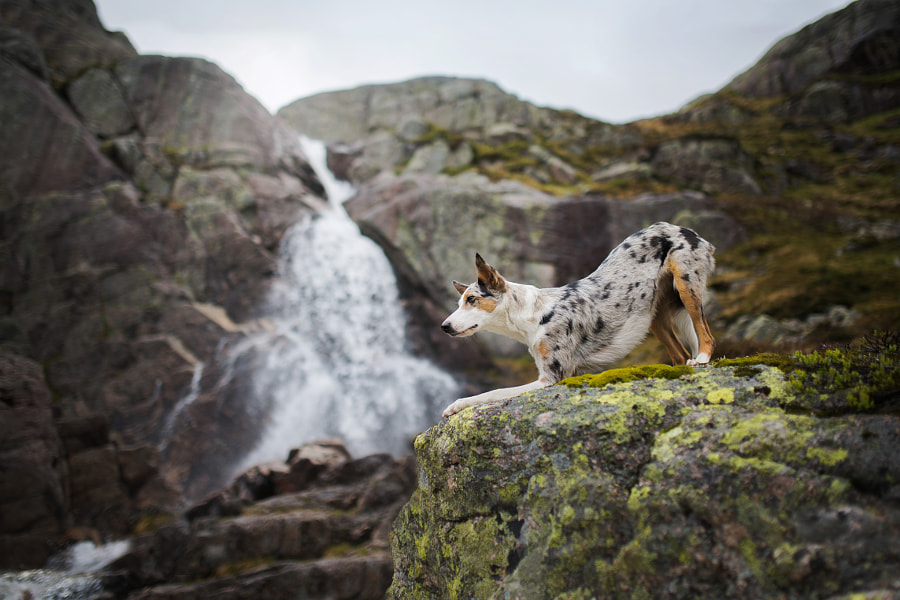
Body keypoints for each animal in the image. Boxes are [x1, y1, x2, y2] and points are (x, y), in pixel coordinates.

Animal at [440, 221, 712, 418]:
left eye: (472, 299)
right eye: (459, 302)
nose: (444, 327)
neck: (534, 315)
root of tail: (682, 228)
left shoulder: (551, 379)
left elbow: (494, 392)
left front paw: (457, 404)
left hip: (687, 285)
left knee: (705, 333)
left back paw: (702, 359)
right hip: (652, 313)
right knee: (679, 354)